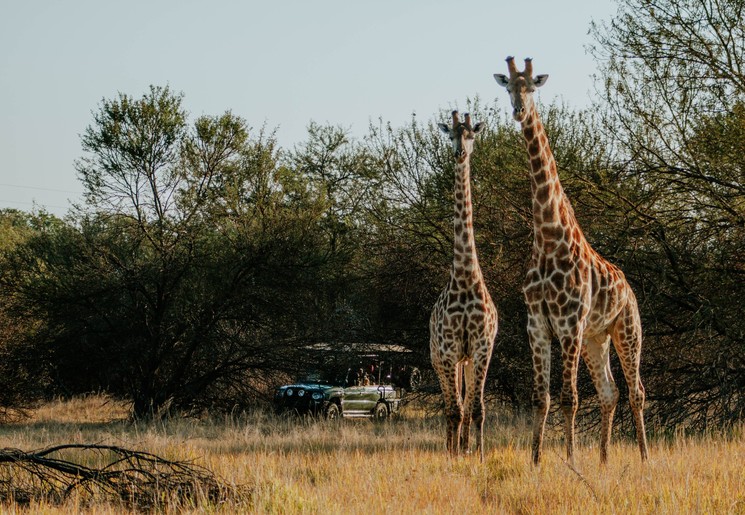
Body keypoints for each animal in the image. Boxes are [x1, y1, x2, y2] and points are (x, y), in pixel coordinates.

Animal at [494, 57, 648, 465]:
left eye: (532, 86)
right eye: (508, 87)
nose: (518, 111)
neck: (548, 237)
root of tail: (629, 289)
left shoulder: (569, 325)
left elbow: (569, 399)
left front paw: (571, 460)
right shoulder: (537, 325)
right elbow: (541, 398)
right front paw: (535, 460)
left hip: (626, 330)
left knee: (637, 391)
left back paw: (644, 458)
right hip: (597, 338)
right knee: (611, 392)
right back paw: (605, 459)